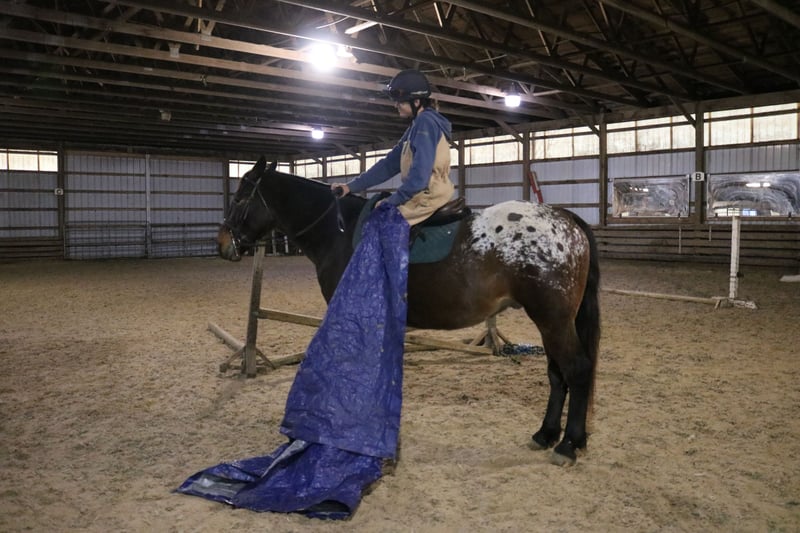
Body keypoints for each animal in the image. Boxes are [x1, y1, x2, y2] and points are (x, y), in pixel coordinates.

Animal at [217, 156, 601, 466]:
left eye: (238, 198)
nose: (223, 244)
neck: (340, 232)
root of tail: (566, 218)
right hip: (551, 323)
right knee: (557, 374)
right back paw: (547, 434)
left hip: (553, 320)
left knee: (577, 370)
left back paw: (567, 444)